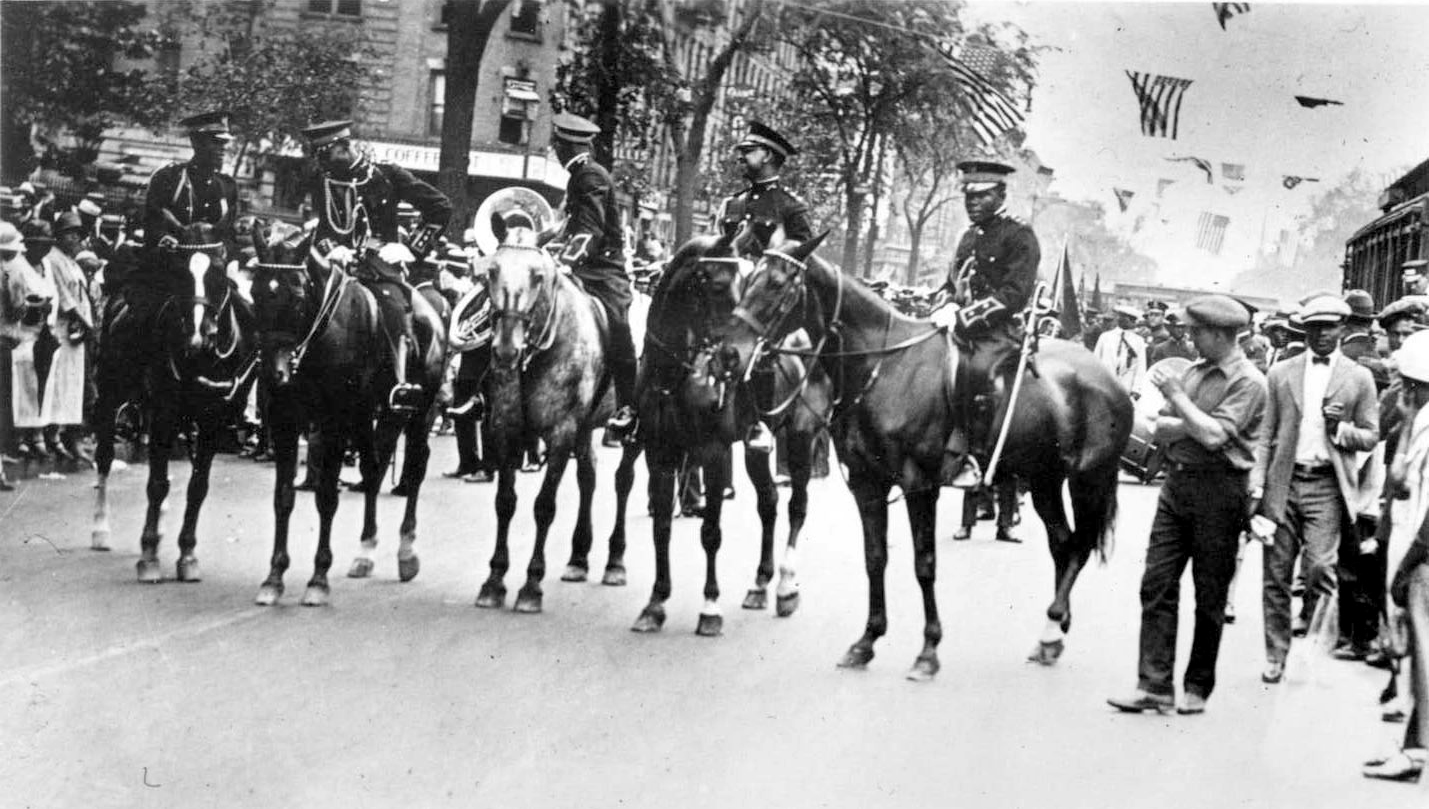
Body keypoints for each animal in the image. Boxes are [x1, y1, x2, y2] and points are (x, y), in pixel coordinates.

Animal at [90, 221, 260, 583]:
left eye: (219, 276)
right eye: (179, 273)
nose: (197, 337)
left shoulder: (212, 422)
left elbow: (197, 487)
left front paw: (187, 555)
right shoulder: (165, 415)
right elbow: (157, 484)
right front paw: (149, 556)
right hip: (110, 393)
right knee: (105, 457)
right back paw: (101, 530)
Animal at [245, 225, 442, 606]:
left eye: (296, 295)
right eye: (255, 293)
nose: (275, 375)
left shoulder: (334, 424)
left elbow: (326, 497)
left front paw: (318, 580)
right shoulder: (285, 423)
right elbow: (283, 498)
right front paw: (274, 578)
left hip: (415, 412)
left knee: (415, 466)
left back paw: (406, 553)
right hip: (367, 415)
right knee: (374, 467)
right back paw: (365, 551)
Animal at [474, 212, 625, 611]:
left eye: (537, 275)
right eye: (492, 270)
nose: (505, 350)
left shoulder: (561, 433)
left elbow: (544, 505)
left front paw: (531, 585)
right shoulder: (504, 429)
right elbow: (504, 502)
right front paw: (494, 580)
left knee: (624, 481)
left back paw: (615, 562)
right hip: (587, 427)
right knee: (589, 476)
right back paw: (578, 558)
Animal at [608, 231, 834, 637]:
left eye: (744, 285)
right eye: (715, 285)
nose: (730, 356)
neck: (675, 375)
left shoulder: (712, 452)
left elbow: (711, 532)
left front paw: (709, 607)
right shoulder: (660, 452)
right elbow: (661, 527)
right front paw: (655, 603)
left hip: (800, 439)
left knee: (796, 506)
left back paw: (786, 589)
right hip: (754, 450)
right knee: (768, 503)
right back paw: (760, 584)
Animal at [720, 235, 1131, 686]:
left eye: (777, 284)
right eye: (747, 279)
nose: (729, 354)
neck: (885, 367)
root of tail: (1109, 378)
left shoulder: (920, 485)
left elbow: (924, 564)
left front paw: (928, 651)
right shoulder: (867, 483)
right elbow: (875, 558)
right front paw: (866, 641)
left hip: (1089, 480)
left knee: (1080, 547)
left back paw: (1052, 627)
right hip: (1044, 480)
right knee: (1063, 543)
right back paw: (1054, 634)